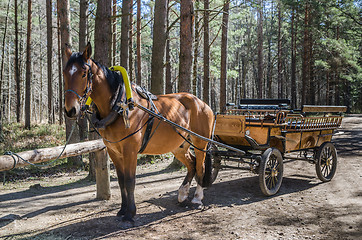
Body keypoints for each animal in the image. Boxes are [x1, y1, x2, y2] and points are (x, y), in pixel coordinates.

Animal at [63, 42, 215, 221]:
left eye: (84, 74)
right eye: (64, 73)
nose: (70, 110)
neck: (119, 105)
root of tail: (202, 103)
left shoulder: (130, 150)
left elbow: (130, 181)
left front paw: (130, 213)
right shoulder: (114, 151)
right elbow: (121, 181)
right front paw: (122, 209)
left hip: (200, 143)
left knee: (200, 166)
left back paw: (197, 198)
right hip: (179, 145)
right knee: (191, 164)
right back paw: (183, 194)